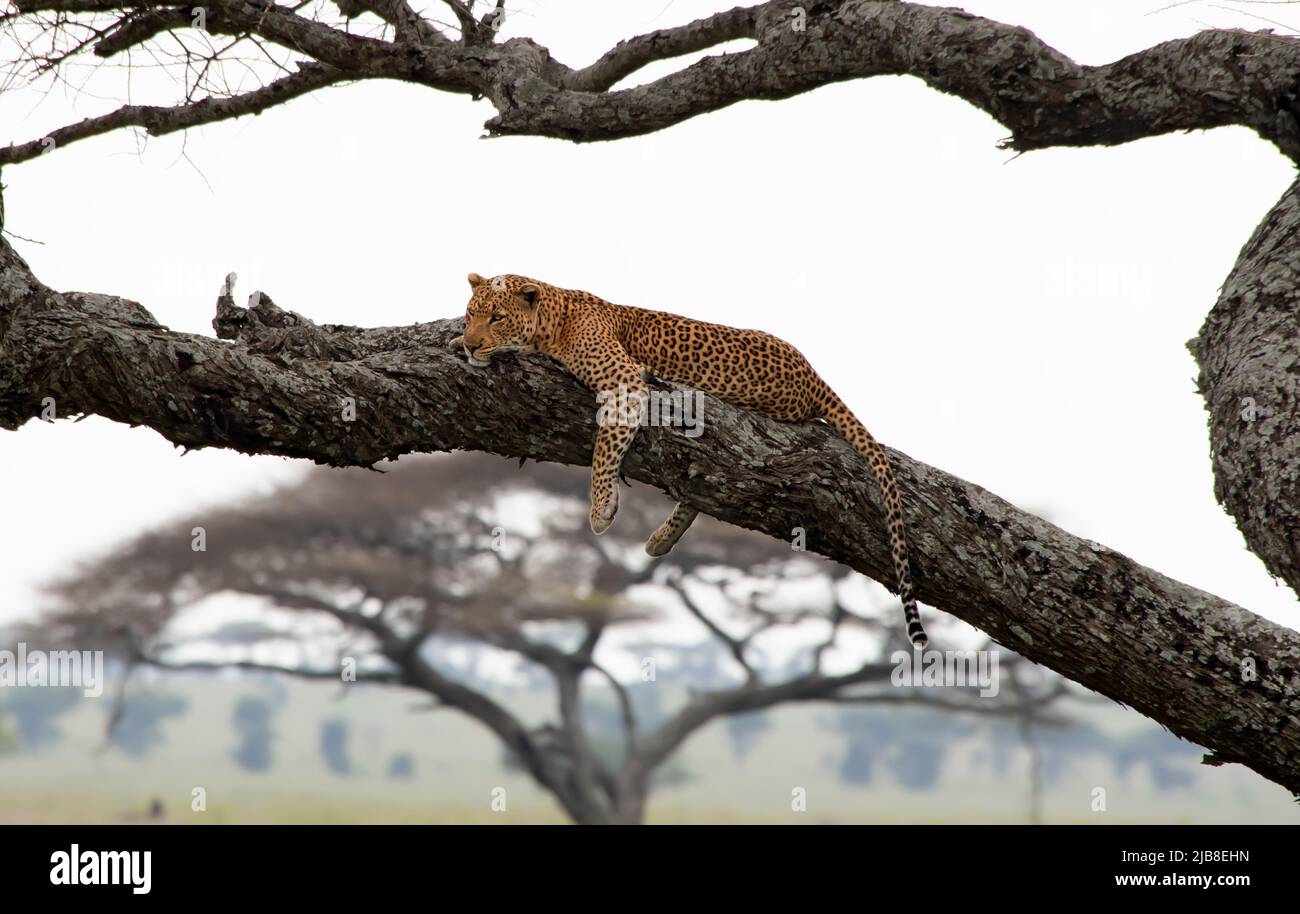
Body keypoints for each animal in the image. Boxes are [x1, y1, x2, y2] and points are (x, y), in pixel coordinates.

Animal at [450, 272, 928, 648]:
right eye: (471, 313)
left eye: (496, 317)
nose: (471, 344)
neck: (554, 315)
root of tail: (813, 375)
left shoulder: (624, 381)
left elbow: (605, 447)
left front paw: (601, 507)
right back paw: (662, 538)